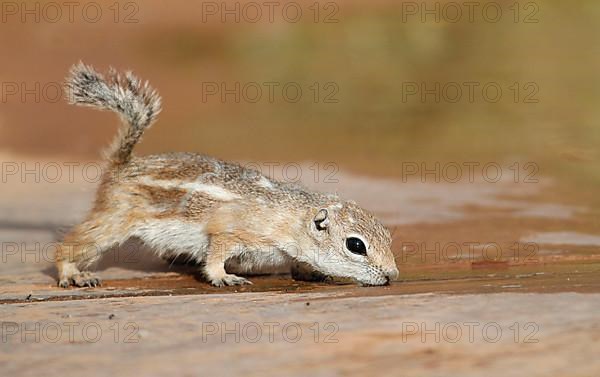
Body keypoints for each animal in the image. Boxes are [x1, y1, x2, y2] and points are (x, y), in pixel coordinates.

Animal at [55, 63, 398, 286]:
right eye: (356, 246)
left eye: (387, 235)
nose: (392, 274)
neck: (290, 218)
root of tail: (123, 163)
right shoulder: (232, 232)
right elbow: (216, 254)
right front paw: (224, 276)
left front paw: (312, 272)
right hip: (115, 220)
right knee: (71, 245)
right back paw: (72, 273)